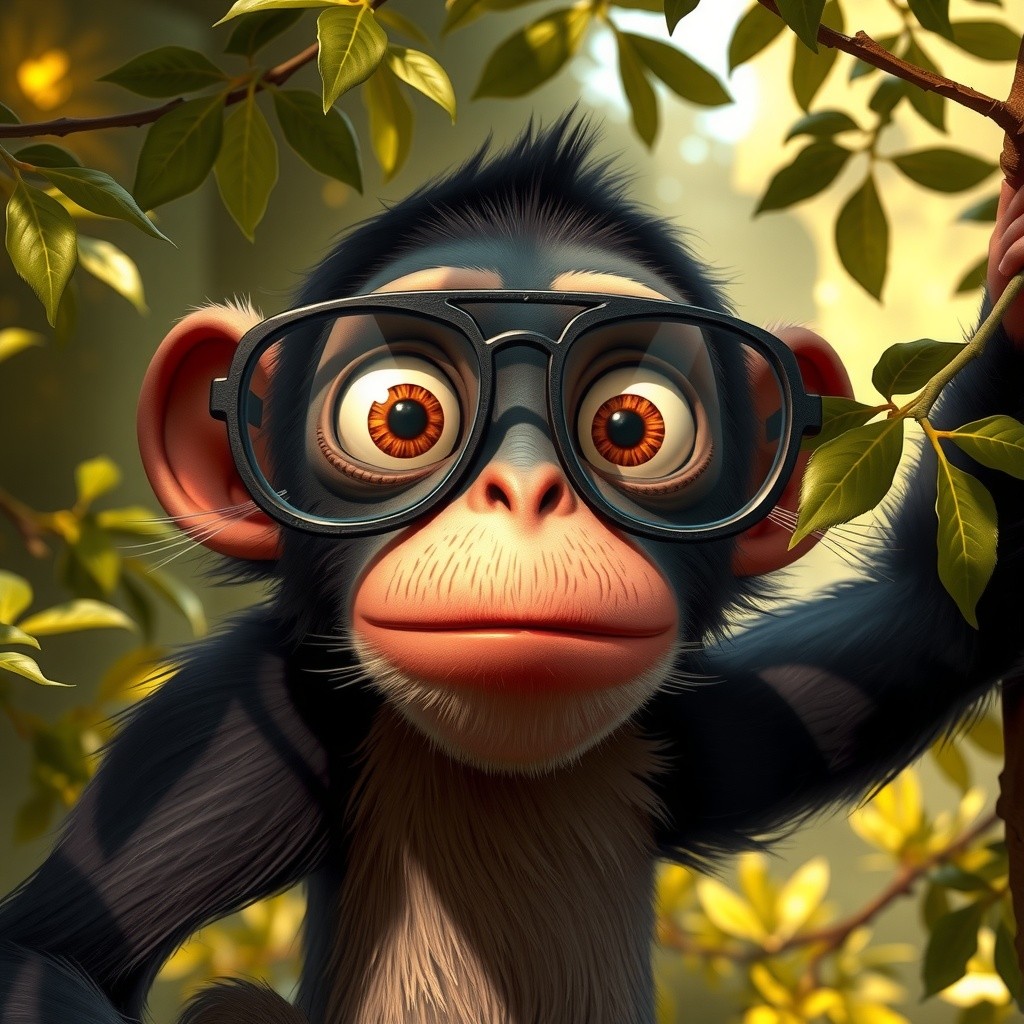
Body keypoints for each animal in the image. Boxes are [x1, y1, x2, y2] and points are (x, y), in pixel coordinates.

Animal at [1, 116, 1023, 1024]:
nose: (526, 490)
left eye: (630, 424)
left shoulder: (697, 726)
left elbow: (937, 616)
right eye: (401, 415)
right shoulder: (239, 719)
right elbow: (50, 954)